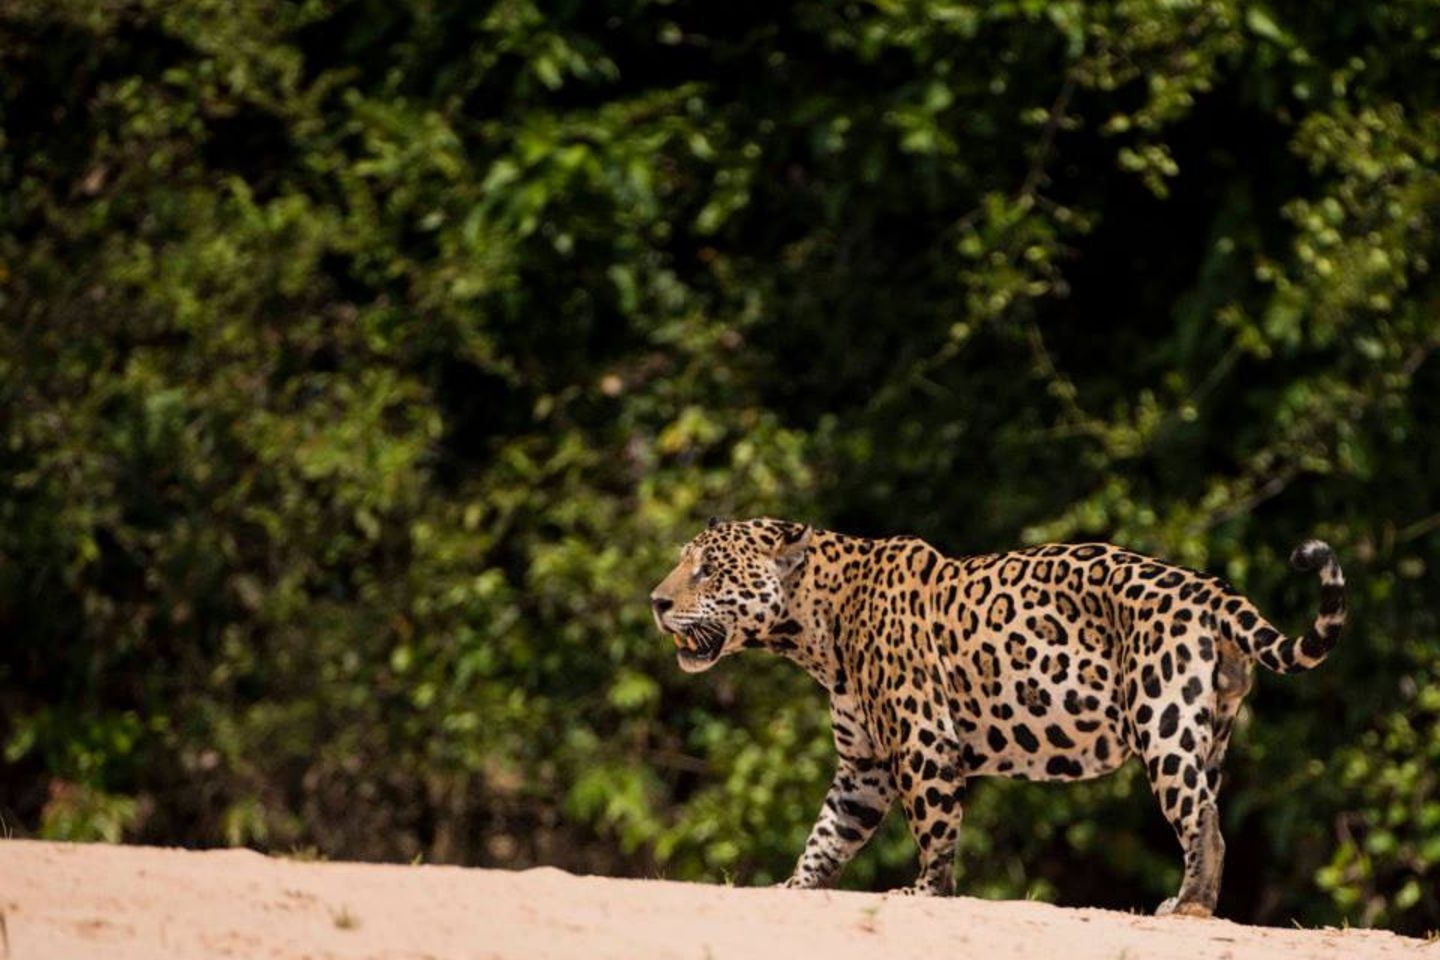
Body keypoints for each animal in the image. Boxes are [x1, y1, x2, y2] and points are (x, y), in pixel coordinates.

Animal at [649, 517, 1345, 916]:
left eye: (706, 570)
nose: (656, 601)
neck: (816, 626)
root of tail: (1210, 589)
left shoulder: (923, 739)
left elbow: (934, 826)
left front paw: (927, 892)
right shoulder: (864, 766)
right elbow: (829, 832)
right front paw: (795, 887)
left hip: (1161, 715)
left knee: (1202, 820)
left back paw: (1188, 909)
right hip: (1212, 729)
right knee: (1209, 809)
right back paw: (1190, 898)